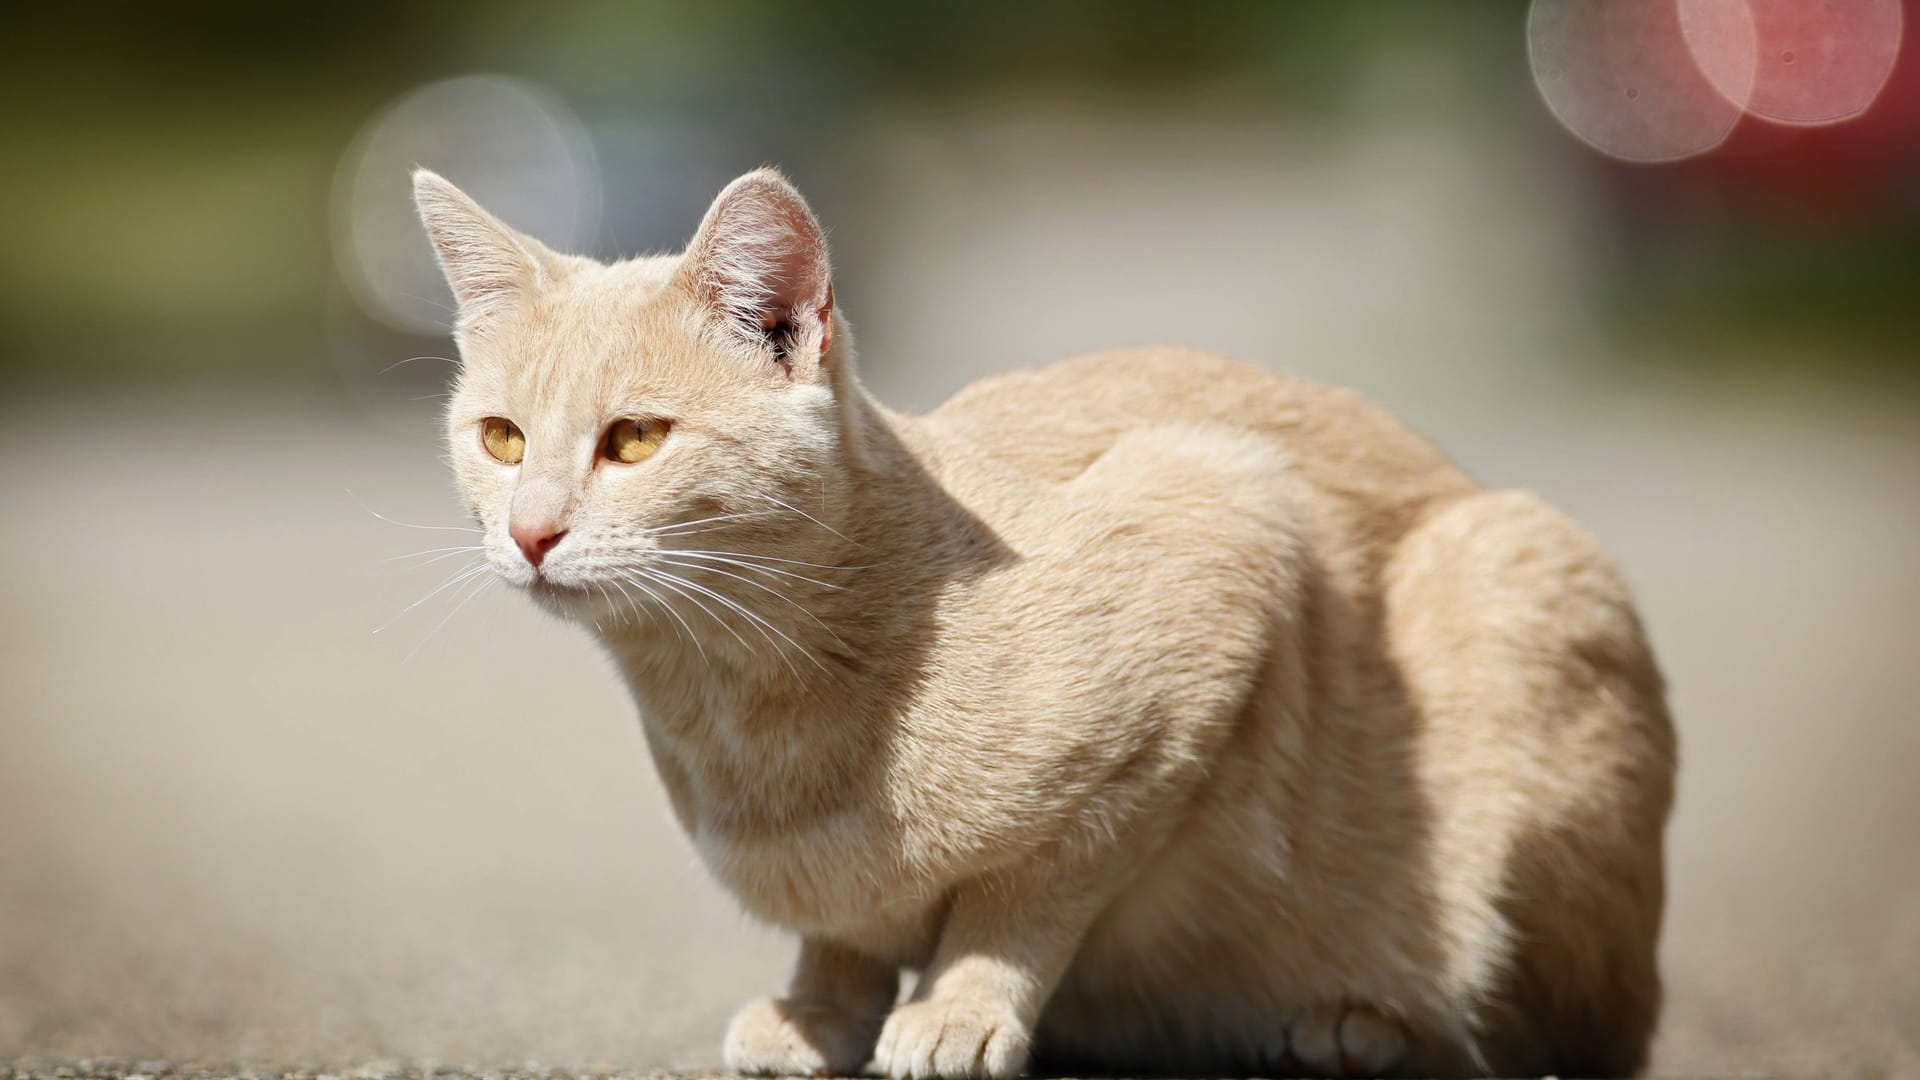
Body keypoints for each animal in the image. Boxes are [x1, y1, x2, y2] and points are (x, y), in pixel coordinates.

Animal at [412, 164, 1674, 1068]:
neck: (736, 708)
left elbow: (1027, 893)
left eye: (634, 440)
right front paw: (824, 1006)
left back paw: (1366, 1029)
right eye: (502, 438)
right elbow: (845, 933)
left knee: (1551, 1042)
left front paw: (960, 1007)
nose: (529, 532)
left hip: (1517, 586)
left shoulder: (1219, 536)